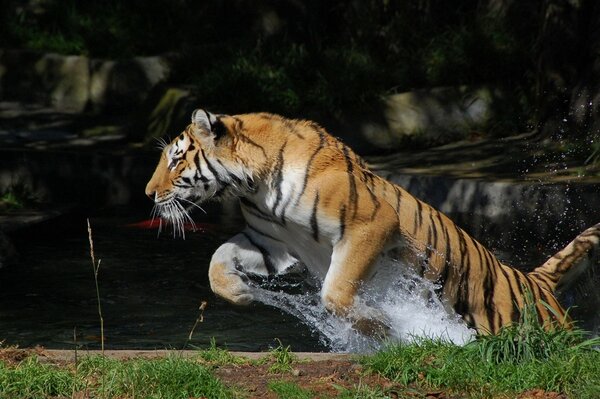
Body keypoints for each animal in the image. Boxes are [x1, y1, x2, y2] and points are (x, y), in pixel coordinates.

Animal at [145, 109, 600, 338]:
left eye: (176, 159)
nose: (149, 193)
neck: (255, 186)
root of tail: (537, 282)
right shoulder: (269, 241)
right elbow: (216, 260)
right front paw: (239, 292)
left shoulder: (370, 225)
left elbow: (335, 292)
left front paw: (382, 326)